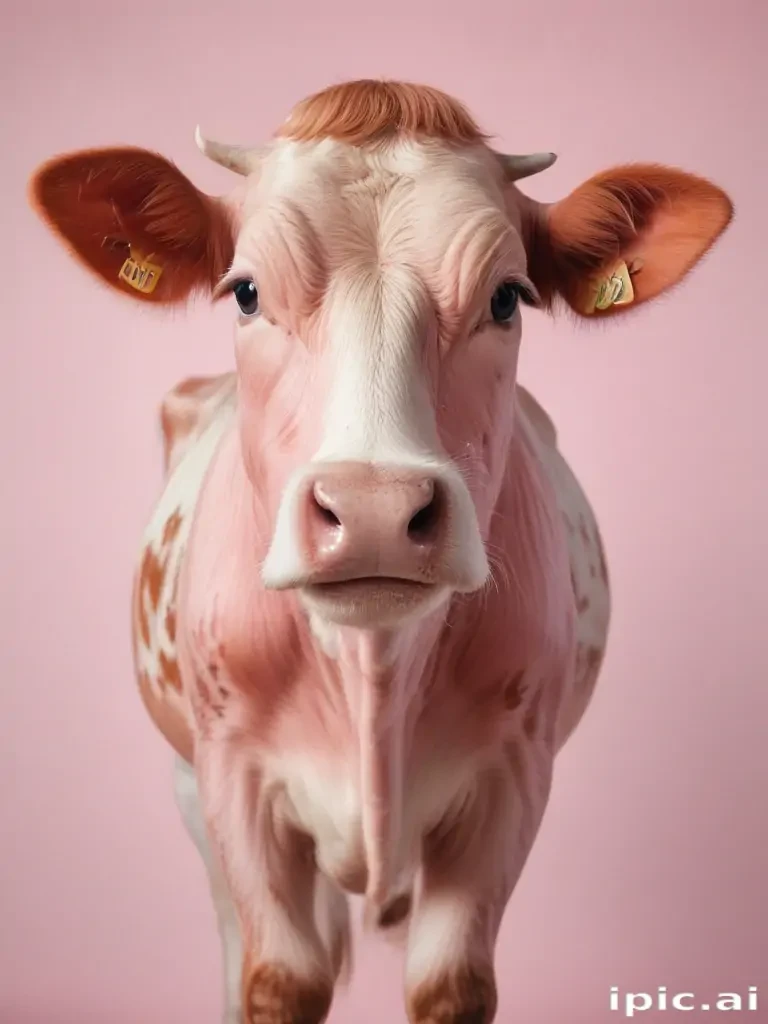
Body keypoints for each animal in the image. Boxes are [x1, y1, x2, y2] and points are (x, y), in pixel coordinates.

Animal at [30, 79, 733, 1024]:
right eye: (245, 292)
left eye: (507, 298)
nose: (372, 508)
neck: (372, 675)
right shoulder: (231, 781)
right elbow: (276, 978)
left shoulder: (514, 779)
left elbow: (453, 984)